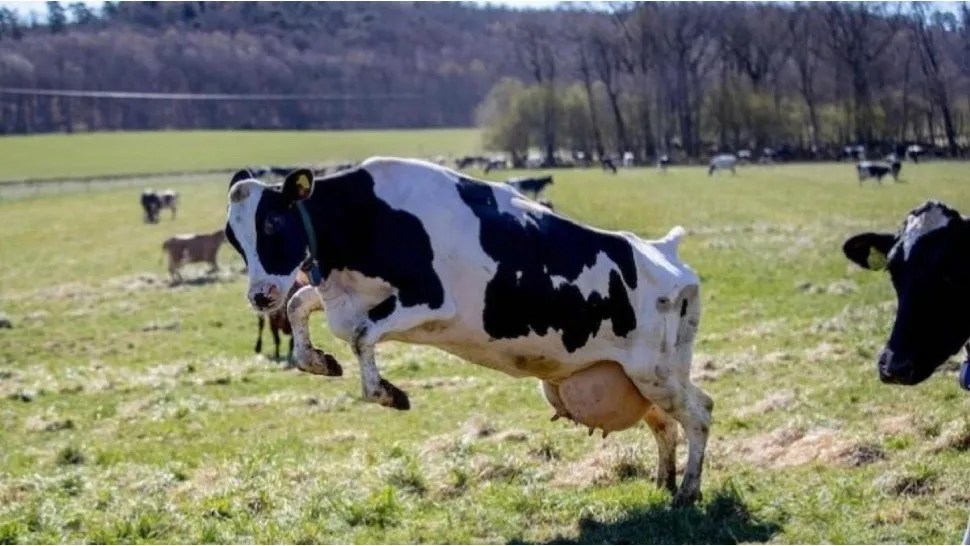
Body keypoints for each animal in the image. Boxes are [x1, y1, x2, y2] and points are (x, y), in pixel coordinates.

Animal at [224, 158, 712, 505]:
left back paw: (687, 492)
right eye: (233, 237)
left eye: (272, 223)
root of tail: (663, 251)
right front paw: (319, 361)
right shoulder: (344, 297)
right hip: (638, 376)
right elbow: (300, 305)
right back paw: (664, 482)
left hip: (655, 371)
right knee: (667, 424)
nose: (259, 295)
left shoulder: (430, 300)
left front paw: (389, 394)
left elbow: (361, 335)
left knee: (700, 413)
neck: (367, 218)